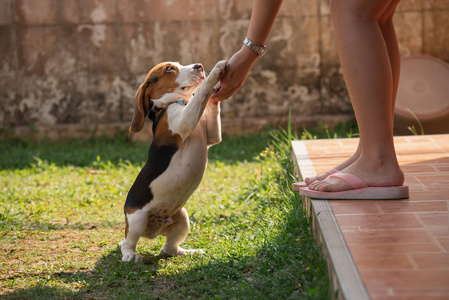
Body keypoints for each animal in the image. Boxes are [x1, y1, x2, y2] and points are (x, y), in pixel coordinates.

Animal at [120, 59, 228, 262]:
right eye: (170, 68)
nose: (199, 66)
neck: (174, 103)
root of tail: (153, 232)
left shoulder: (212, 135)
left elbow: (211, 106)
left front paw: (217, 87)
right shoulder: (184, 122)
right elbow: (200, 95)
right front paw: (214, 74)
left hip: (182, 218)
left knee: (168, 248)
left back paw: (187, 252)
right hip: (137, 220)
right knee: (126, 242)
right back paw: (130, 255)